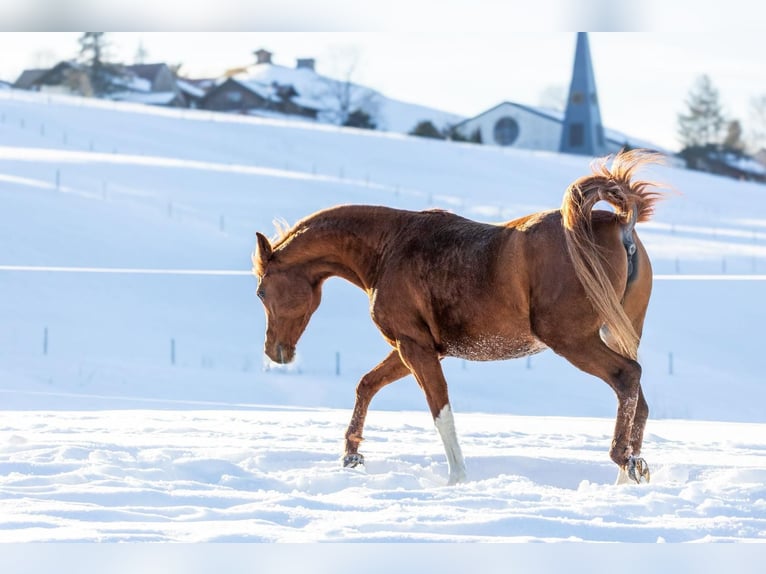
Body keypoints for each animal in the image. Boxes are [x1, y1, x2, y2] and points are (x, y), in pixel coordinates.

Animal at [252, 149, 663, 485]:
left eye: (260, 292)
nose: (274, 352)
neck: (389, 248)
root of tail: (619, 225)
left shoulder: (415, 348)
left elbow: (440, 409)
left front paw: (457, 478)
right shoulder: (413, 347)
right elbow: (366, 385)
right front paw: (352, 456)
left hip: (572, 339)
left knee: (627, 377)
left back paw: (623, 461)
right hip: (614, 334)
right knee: (639, 399)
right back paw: (629, 475)